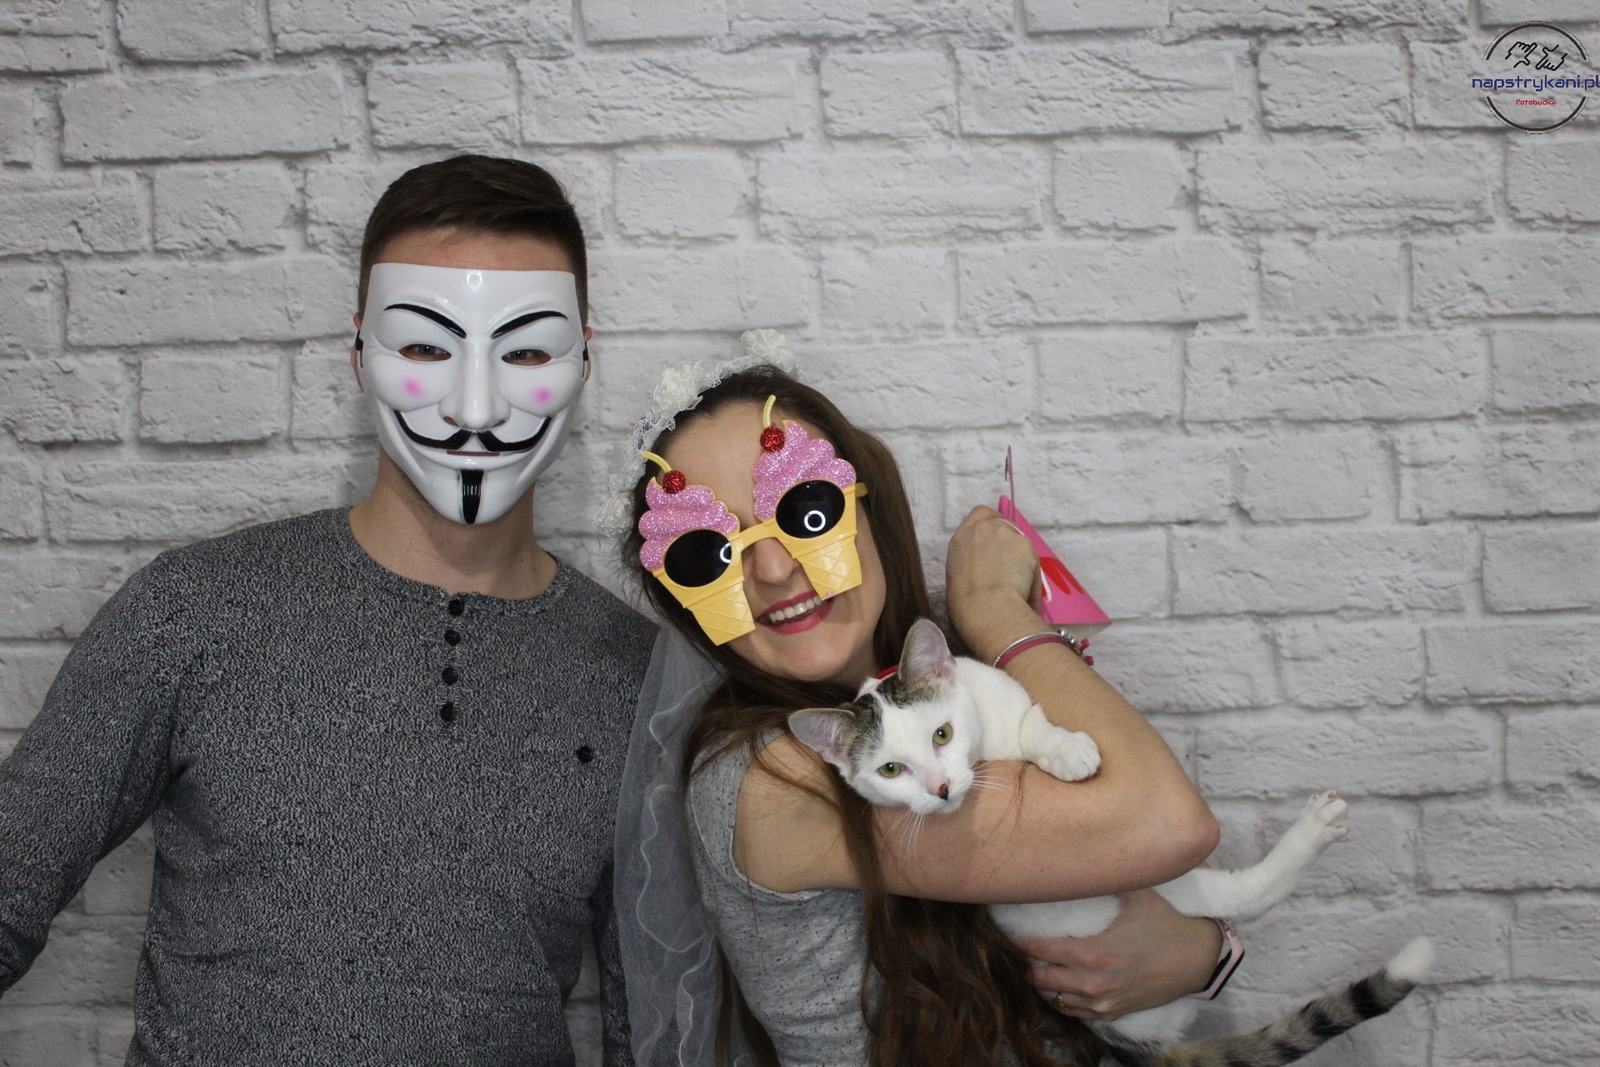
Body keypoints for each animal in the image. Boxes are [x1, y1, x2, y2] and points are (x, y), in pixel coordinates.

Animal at [788, 618, 1432, 1067]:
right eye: (891, 770)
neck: (986, 754)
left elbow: (1033, 722)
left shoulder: (1003, 696)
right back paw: (1313, 831)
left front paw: (1065, 750)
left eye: (941, 734)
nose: (941, 790)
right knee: (1241, 895)